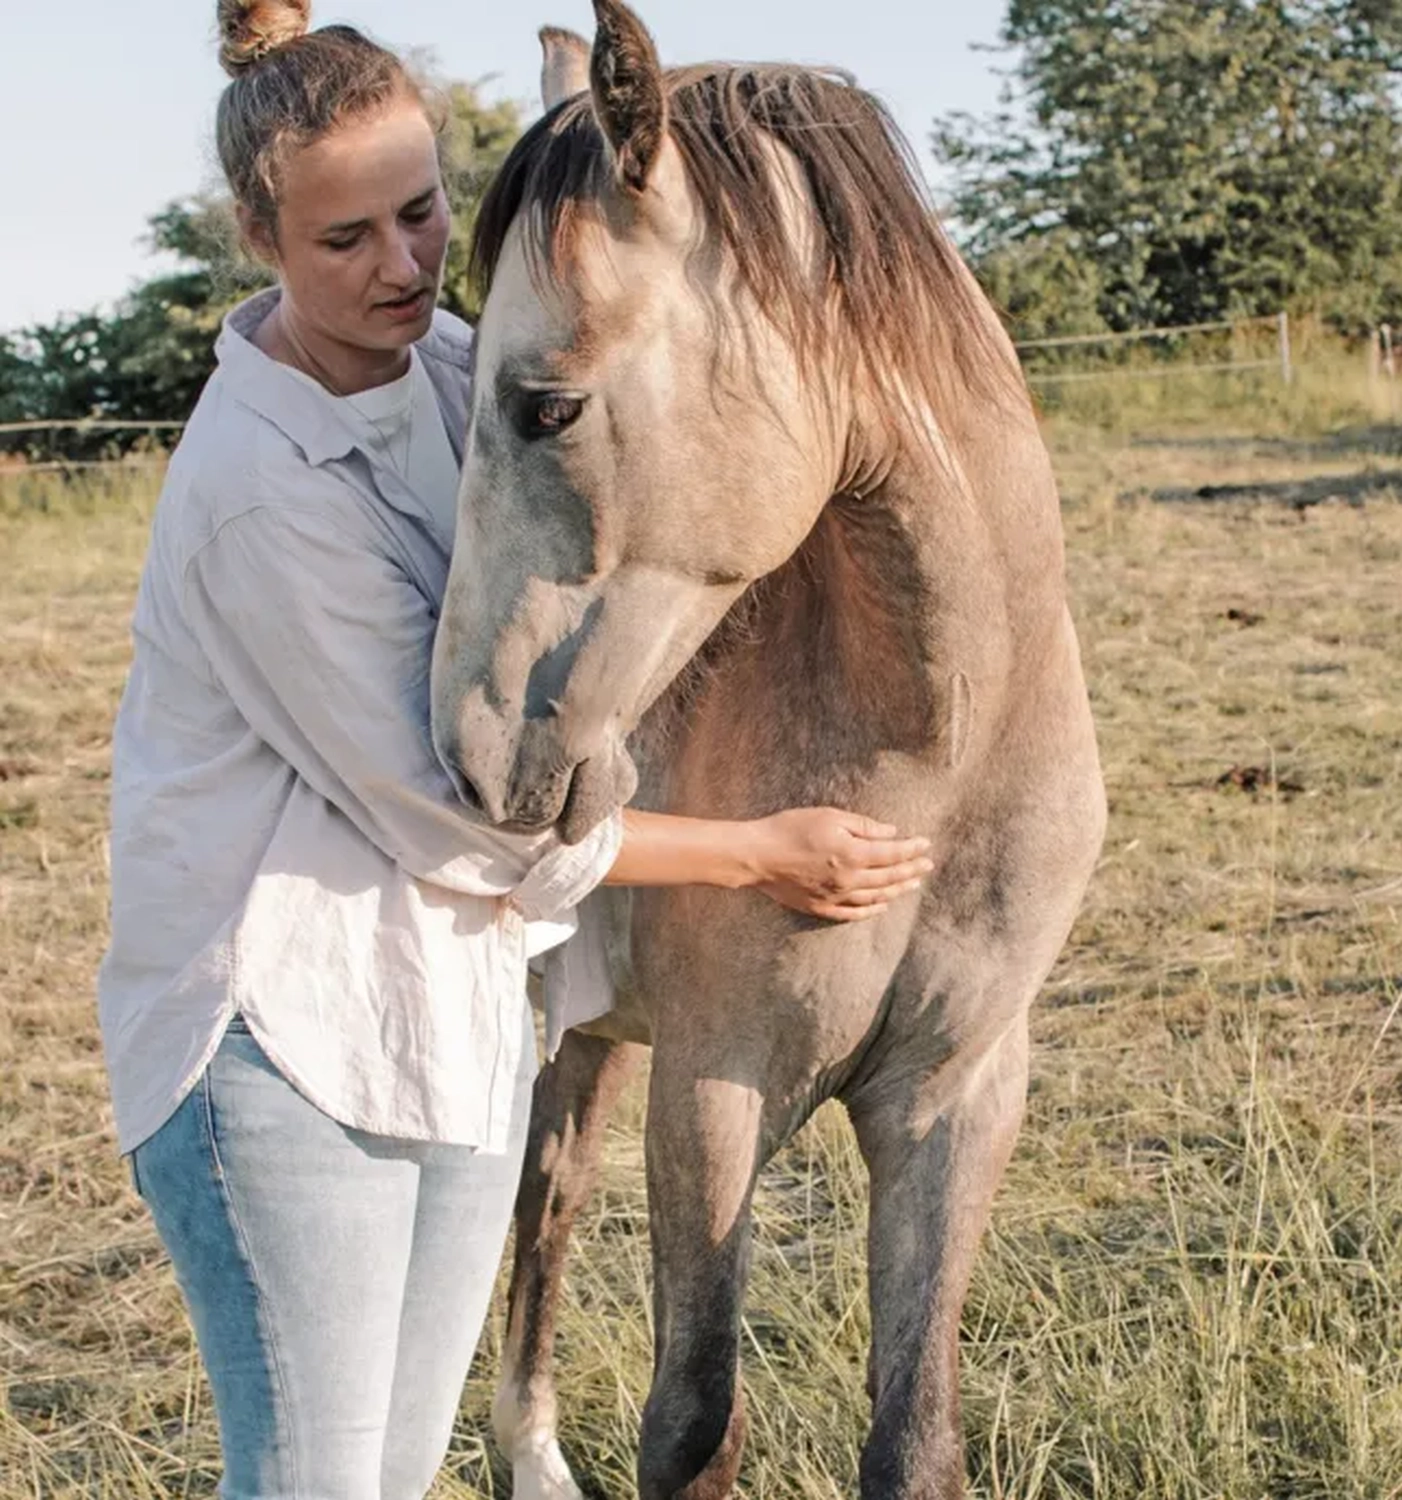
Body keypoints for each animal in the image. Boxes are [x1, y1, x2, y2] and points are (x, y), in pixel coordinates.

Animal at [428, 5, 1109, 1494]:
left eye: (546, 405)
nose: (468, 755)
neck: (933, 755)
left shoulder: (955, 1099)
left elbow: (912, 1436)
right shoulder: (715, 1092)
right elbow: (692, 1419)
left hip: (586, 1030)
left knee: (551, 1191)